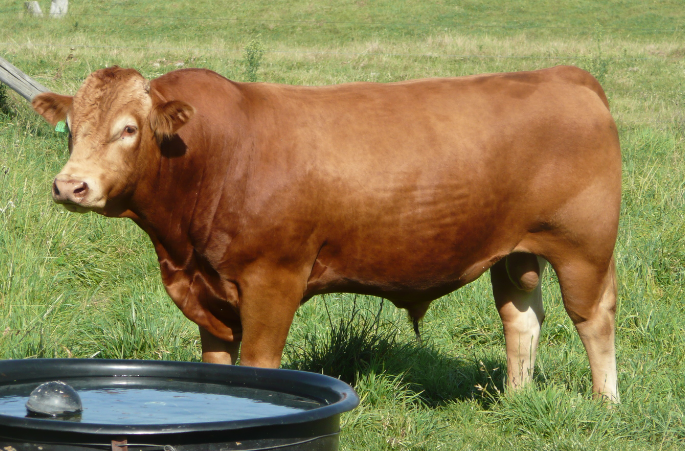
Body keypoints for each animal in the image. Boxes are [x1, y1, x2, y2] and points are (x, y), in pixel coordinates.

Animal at [30, 65, 620, 400]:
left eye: (129, 128)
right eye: (72, 128)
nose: (70, 185)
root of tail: (565, 74)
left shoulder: (273, 280)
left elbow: (260, 365)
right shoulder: (206, 291)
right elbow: (216, 364)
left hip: (583, 247)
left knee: (593, 319)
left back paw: (605, 402)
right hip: (515, 251)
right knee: (521, 317)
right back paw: (516, 399)